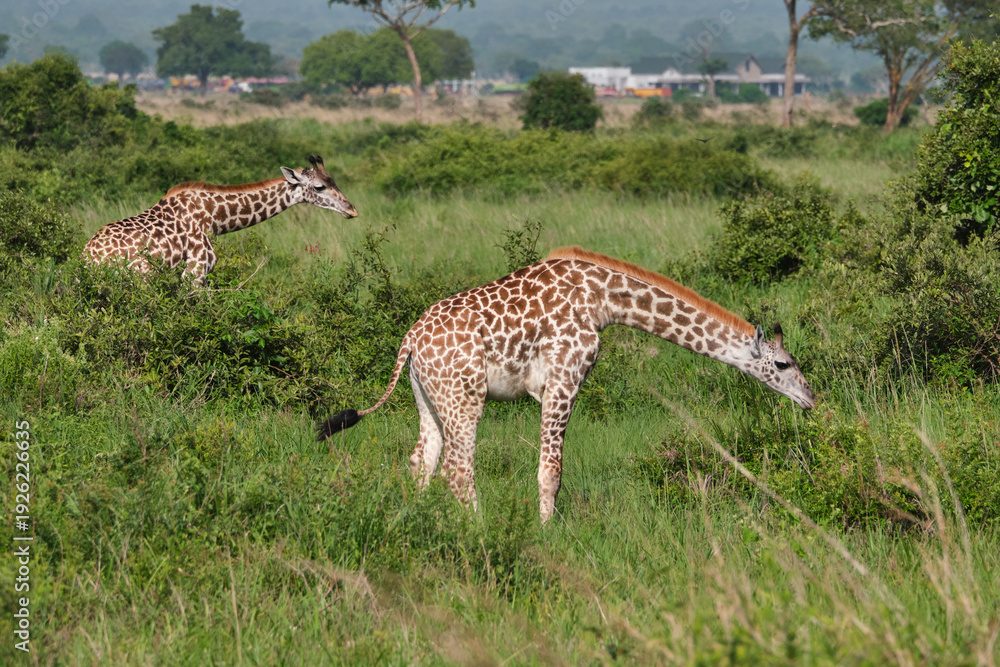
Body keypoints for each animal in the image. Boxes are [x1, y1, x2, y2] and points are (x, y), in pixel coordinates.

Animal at [83, 156, 357, 283]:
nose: (352, 210)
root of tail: (89, 260)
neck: (214, 218)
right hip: (141, 278)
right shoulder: (195, 272)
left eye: (334, 181)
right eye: (320, 187)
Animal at [317, 246, 816, 524]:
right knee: (457, 470)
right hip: (465, 397)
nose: (811, 399)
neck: (604, 300)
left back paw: (423, 520)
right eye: (784, 363)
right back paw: (480, 530)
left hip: (427, 396)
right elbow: (551, 470)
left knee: (421, 461)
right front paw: (546, 533)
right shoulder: (563, 380)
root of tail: (409, 340)